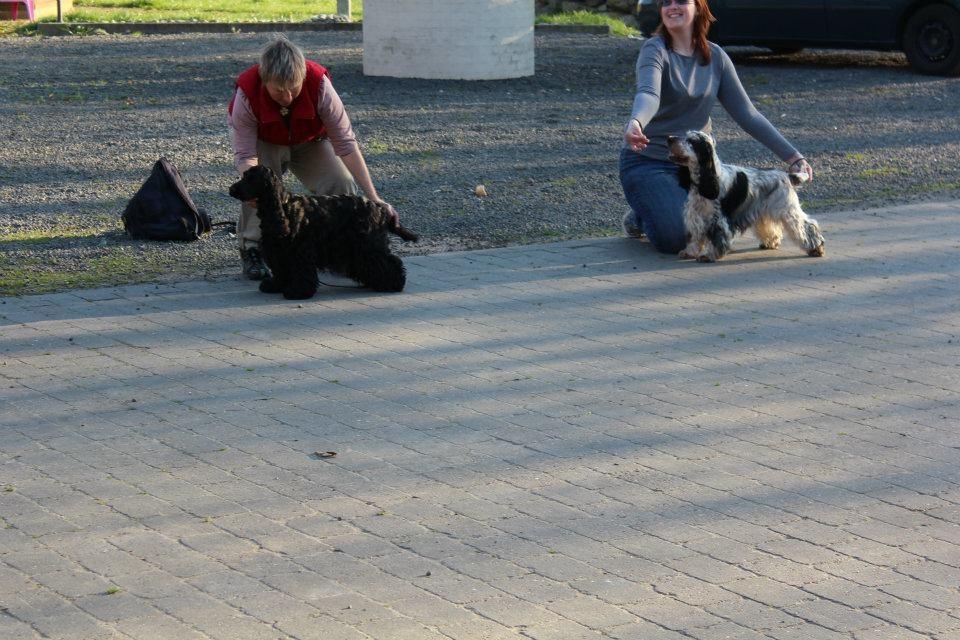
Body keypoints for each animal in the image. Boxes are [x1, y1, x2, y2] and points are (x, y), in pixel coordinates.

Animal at [229, 166, 420, 298]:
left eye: (250, 179)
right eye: (244, 176)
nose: (232, 189)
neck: (283, 206)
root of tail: (379, 207)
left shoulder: (300, 251)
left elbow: (301, 271)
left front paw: (298, 291)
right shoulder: (278, 251)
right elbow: (281, 270)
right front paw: (275, 285)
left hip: (368, 245)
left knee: (389, 262)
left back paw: (395, 283)